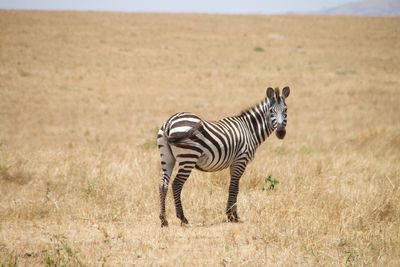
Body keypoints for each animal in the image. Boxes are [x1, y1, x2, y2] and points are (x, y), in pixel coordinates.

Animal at [157, 87, 290, 227]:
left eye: (285, 110)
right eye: (271, 111)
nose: (281, 132)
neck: (249, 130)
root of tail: (169, 122)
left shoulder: (234, 163)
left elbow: (234, 187)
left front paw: (232, 214)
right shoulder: (240, 160)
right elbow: (234, 188)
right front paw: (232, 216)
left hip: (167, 158)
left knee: (163, 184)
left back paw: (163, 219)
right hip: (188, 157)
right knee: (176, 184)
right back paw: (182, 218)